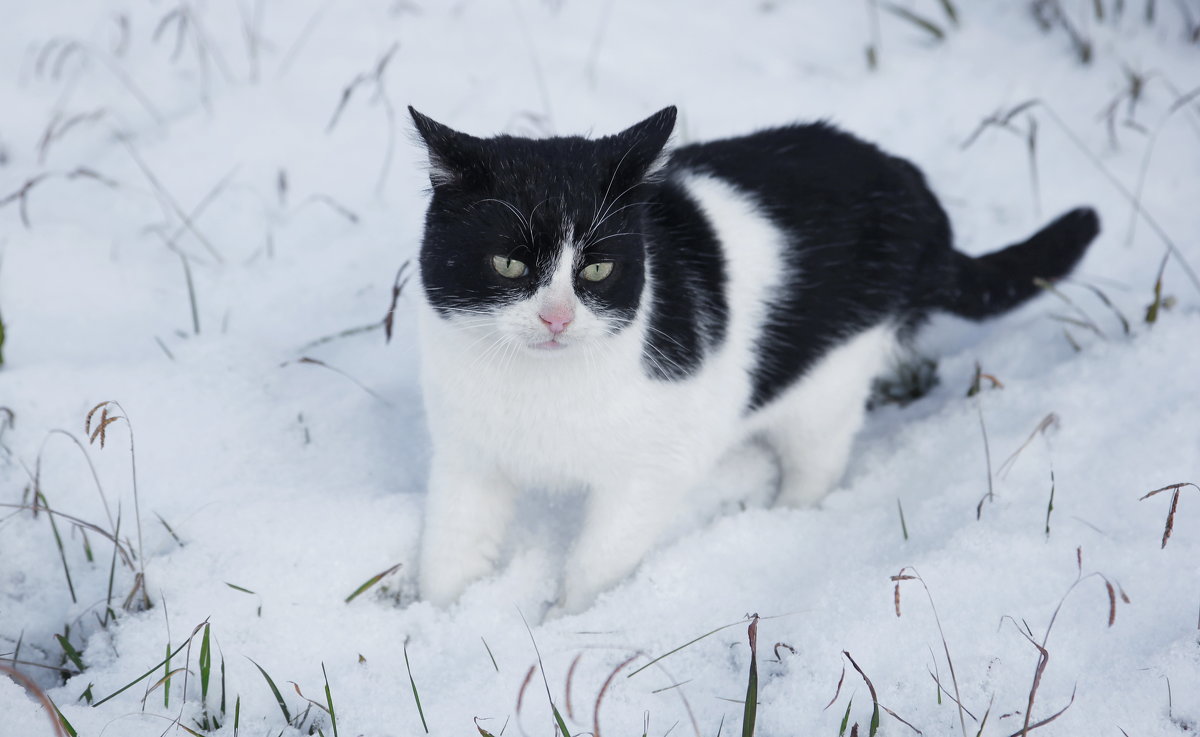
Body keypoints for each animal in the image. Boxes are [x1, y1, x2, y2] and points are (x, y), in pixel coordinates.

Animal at [408, 102, 1099, 612]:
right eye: (509, 264)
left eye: (597, 269)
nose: (557, 317)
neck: (537, 388)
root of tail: (915, 190)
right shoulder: (468, 456)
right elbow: (451, 553)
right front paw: (436, 627)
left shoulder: (650, 470)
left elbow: (598, 562)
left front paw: (564, 630)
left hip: (829, 380)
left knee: (817, 462)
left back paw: (777, 518)